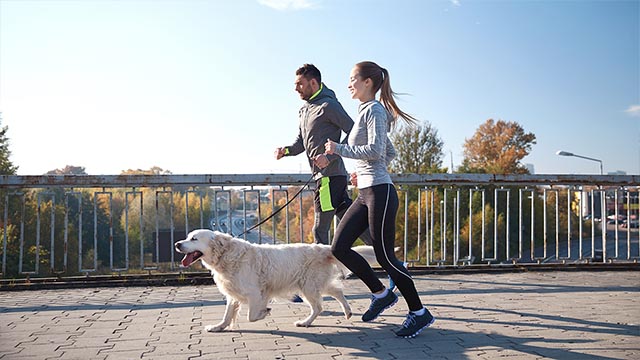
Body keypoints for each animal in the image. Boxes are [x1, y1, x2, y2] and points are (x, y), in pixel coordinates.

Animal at [175, 229, 378, 330]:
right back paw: (347, 312)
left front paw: (265, 312)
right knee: (337, 290)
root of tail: (323, 247)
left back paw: (305, 322)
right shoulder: (233, 294)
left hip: (308, 286)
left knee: (319, 306)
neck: (226, 255)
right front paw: (218, 327)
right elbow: (227, 315)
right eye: (186, 237)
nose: (177, 244)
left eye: (194, 239)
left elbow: (251, 316)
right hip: (313, 284)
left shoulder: (255, 293)